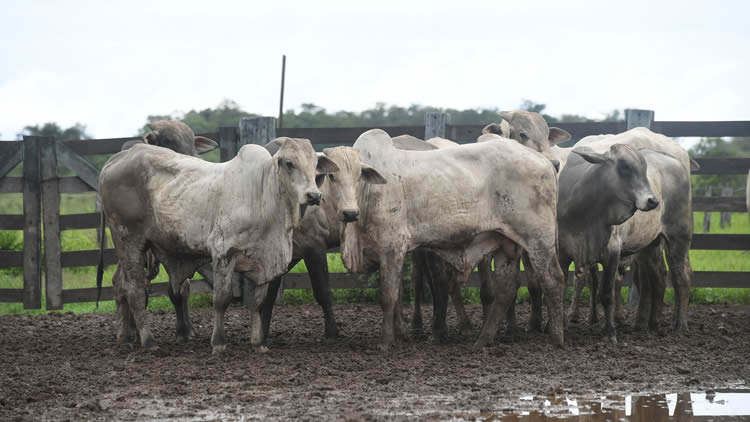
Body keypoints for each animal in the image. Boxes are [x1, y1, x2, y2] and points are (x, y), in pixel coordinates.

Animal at [99, 137, 338, 352]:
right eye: (289, 163)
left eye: (315, 165)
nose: (314, 195)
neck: (262, 193)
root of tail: (117, 159)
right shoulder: (223, 252)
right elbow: (222, 299)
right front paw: (219, 342)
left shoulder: (263, 261)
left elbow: (258, 302)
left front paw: (258, 343)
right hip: (129, 240)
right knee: (135, 292)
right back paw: (148, 342)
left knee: (121, 285)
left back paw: (125, 337)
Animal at [342, 129, 564, 350]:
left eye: (357, 176)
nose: (349, 212)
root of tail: (545, 161)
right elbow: (396, 297)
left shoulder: (393, 246)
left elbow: (388, 297)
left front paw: (387, 343)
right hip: (506, 242)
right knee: (506, 288)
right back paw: (483, 339)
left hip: (538, 240)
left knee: (552, 280)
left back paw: (556, 337)